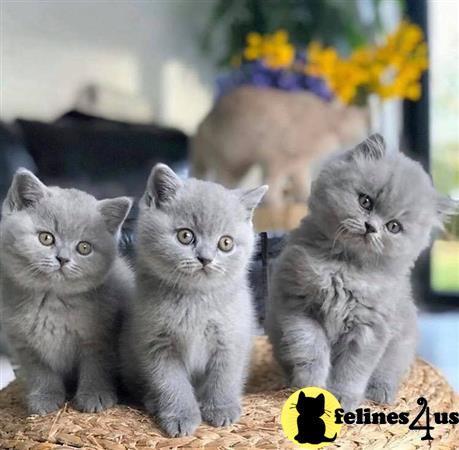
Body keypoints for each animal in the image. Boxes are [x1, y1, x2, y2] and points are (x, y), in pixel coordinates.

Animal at [0, 169, 133, 414]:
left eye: (84, 247)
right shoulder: (24, 345)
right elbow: (40, 372)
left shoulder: (99, 338)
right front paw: (44, 399)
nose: (62, 259)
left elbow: (96, 368)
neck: (52, 300)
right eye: (46, 238)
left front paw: (95, 396)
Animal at [120, 164, 268, 436]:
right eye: (186, 236)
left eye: (226, 243)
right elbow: (171, 383)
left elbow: (224, 377)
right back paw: (152, 401)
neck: (195, 301)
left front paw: (221, 409)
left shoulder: (232, 338)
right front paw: (180, 416)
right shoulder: (156, 344)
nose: (205, 258)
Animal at [264, 134, 458, 412]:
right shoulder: (299, 308)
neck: (344, 268)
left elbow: (352, 370)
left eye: (393, 227)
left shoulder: (369, 327)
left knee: (388, 372)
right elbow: (312, 352)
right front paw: (311, 386)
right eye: (365, 201)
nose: (370, 227)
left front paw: (343, 399)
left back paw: (381, 393)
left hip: (401, 345)